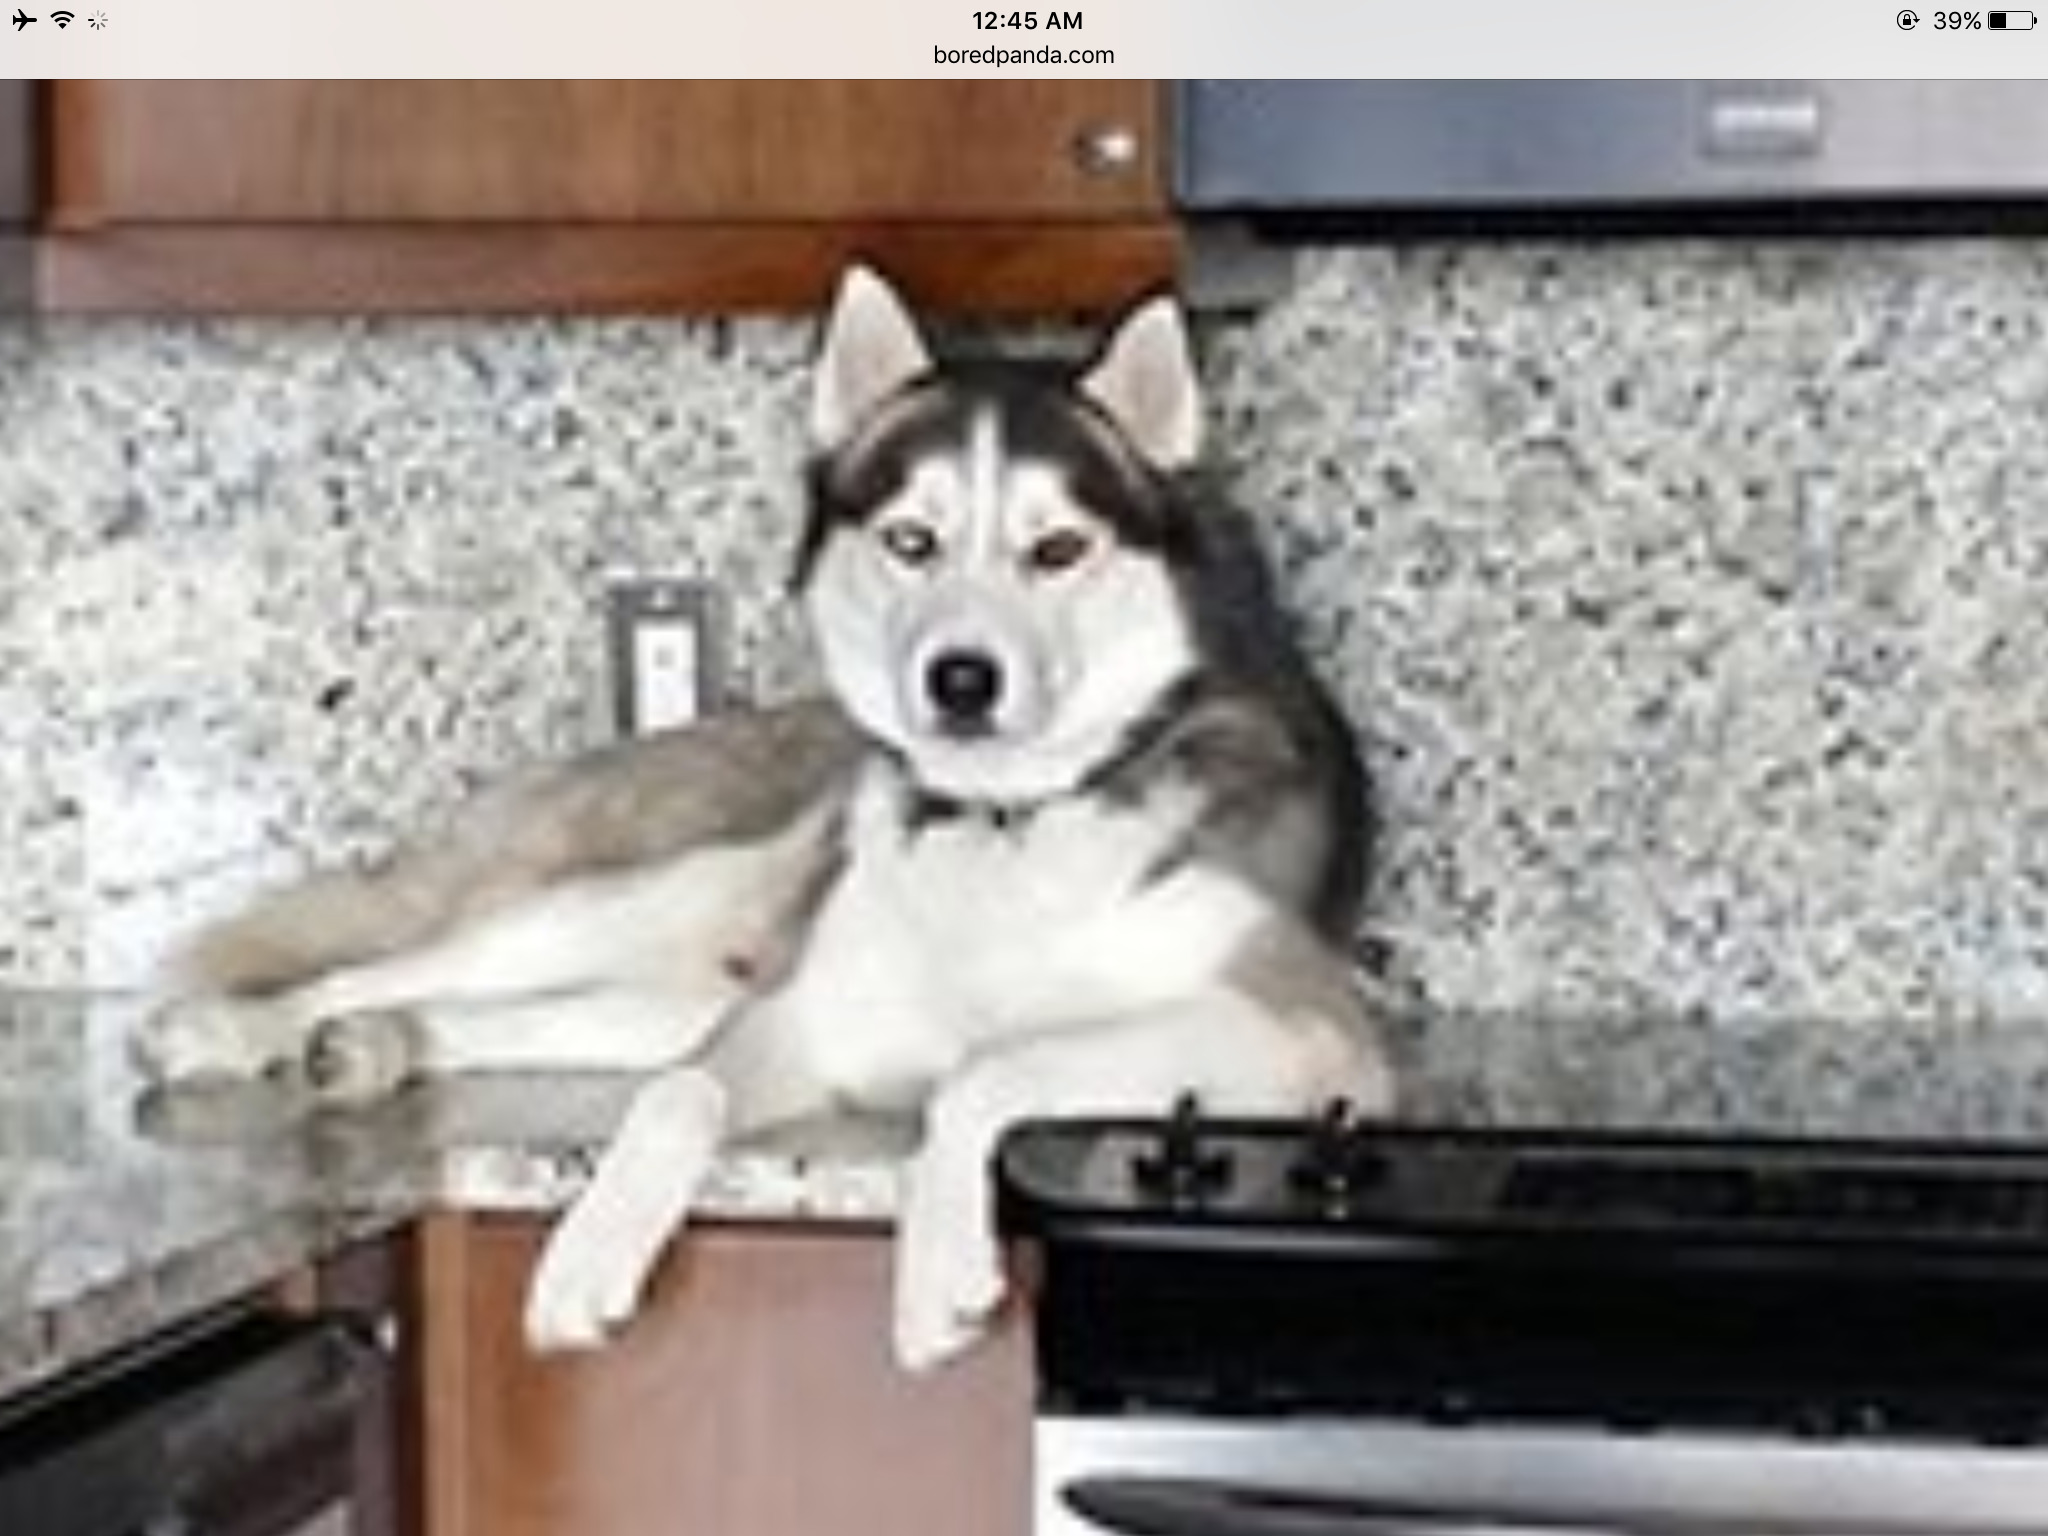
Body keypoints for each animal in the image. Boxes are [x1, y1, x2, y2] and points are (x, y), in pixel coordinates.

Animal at [134, 266, 1395, 1370]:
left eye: (1056, 550)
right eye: (910, 540)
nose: (960, 680)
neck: (1000, 823)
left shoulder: (1302, 1037)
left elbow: (988, 1069)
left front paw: (935, 1275)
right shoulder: (804, 1016)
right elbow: (678, 1095)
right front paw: (588, 1255)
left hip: (668, 988)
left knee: (524, 1017)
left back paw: (381, 1047)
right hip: (653, 900)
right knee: (422, 969)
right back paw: (240, 1032)